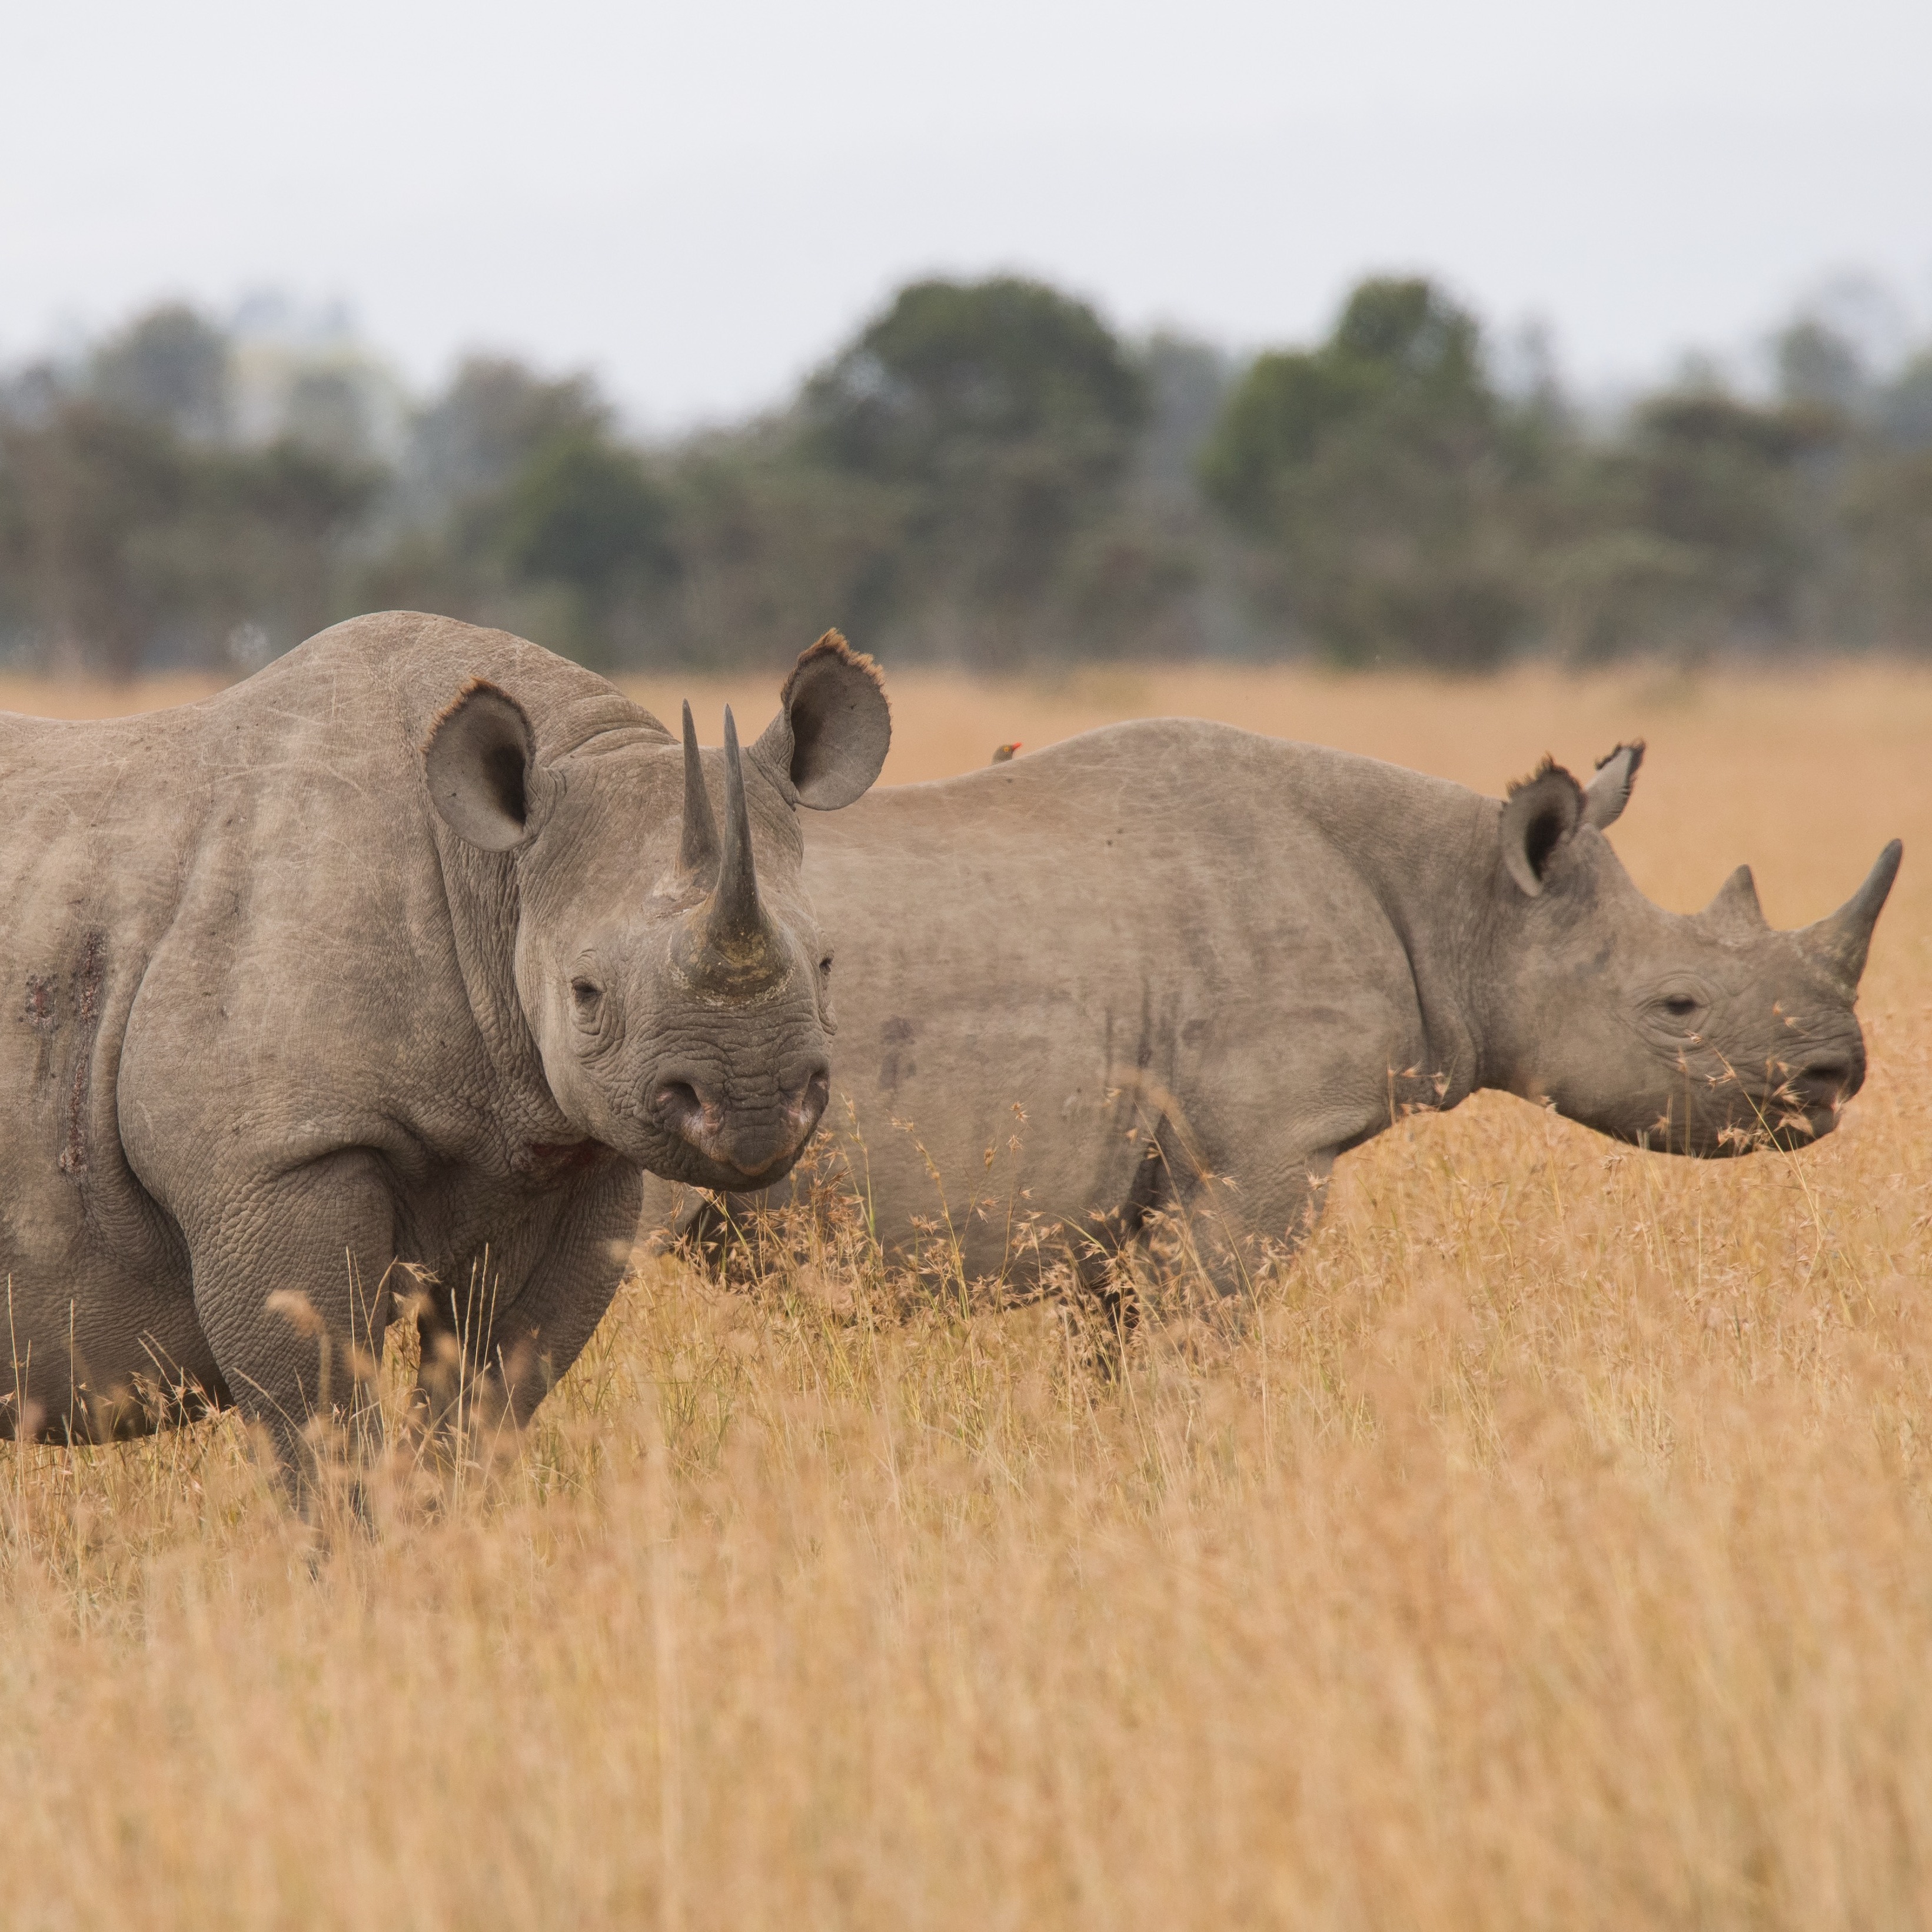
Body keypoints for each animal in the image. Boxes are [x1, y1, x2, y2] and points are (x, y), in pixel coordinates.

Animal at [0, 611, 890, 1483]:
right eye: (585, 993)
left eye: (826, 964)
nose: (753, 1105)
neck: (494, 878)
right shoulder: (274, 1160)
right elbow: (317, 1408)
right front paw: (356, 1530)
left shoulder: (556, 1147)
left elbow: (495, 1384)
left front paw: (450, 1521)